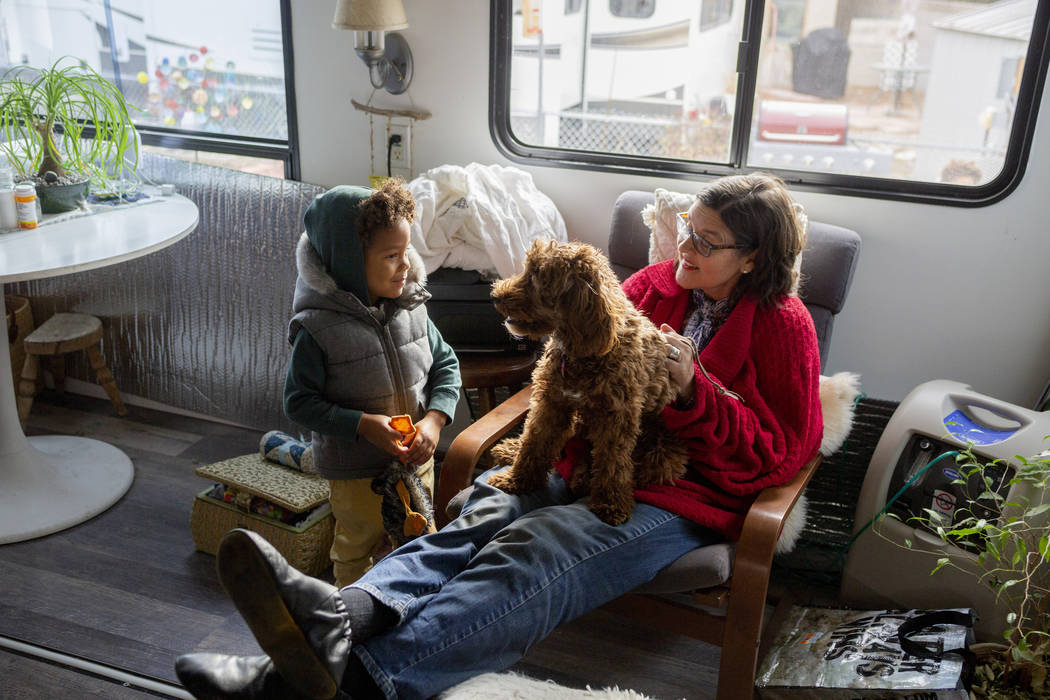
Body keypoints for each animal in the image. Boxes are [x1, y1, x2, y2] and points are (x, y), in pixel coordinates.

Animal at [485, 238, 688, 522]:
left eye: (538, 276)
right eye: (528, 269)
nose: (495, 296)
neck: (582, 354)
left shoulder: (616, 418)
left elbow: (613, 463)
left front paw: (611, 503)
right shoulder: (551, 403)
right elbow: (535, 441)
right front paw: (517, 480)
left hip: (663, 453)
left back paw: (584, 478)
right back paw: (514, 449)